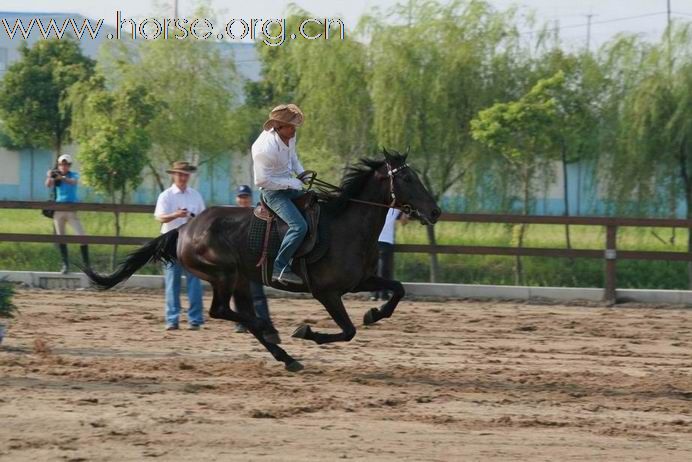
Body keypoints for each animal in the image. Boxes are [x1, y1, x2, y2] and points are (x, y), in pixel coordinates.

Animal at [81, 152, 438, 372]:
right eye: (408, 179)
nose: (434, 211)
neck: (345, 226)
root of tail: (184, 228)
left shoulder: (361, 280)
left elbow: (397, 289)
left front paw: (374, 313)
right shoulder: (326, 292)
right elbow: (347, 330)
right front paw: (307, 332)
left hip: (239, 278)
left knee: (239, 313)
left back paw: (283, 353)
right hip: (224, 275)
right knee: (222, 311)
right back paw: (273, 333)